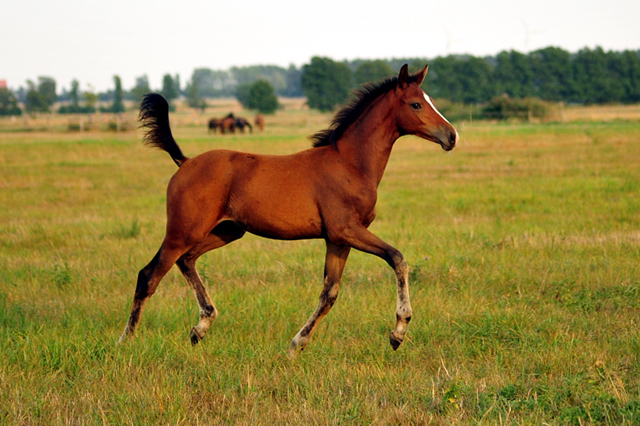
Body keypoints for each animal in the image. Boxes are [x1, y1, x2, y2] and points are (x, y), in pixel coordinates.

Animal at [119, 63, 460, 356]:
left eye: (429, 101)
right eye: (416, 105)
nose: (452, 136)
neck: (350, 163)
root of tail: (185, 161)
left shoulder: (337, 239)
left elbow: (329, 293)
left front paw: (297, 345)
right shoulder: (347, 230)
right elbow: (397, 258)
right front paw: (398, 331)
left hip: (226, 231)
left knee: (186, 260)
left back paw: (201, 326)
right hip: (183, 230)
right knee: (149, 275)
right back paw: (127, 340)